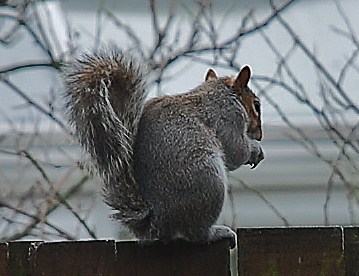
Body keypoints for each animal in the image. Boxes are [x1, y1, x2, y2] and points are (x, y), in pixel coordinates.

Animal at [64, 48, 264, 246]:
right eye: (256, 105)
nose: (260, 135)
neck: (222, 92)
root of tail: (157, 223)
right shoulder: (228, 117)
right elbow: (235, 151)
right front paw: (255, 150)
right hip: (209, 182)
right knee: (195, 233)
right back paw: (216, 232)